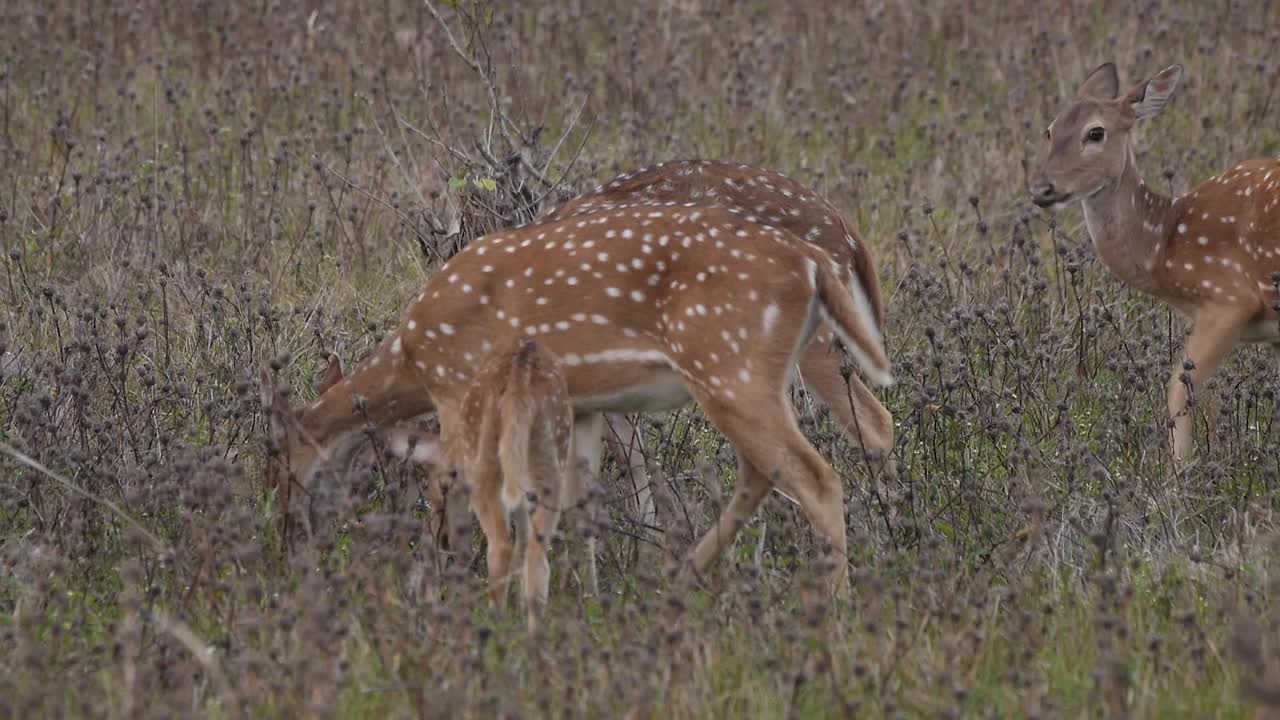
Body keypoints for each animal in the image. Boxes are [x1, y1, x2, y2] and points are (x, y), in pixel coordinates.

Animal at [262, 199, 890, 589]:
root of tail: (814, 263)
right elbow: (572, 499)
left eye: (281, 461)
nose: (288, 548)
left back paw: (835, 606)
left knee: (816, 476)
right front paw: (575, 591)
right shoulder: (585, 407)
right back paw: (681, 575)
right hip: (753, 375)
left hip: (729, 365)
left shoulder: (459, 387)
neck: (414, 357)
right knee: (765, 471)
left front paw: (455, 582)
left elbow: (457, 488)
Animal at [1029, 64, 1280, 461]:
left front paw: (1180, 473)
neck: (1165, 247)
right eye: (1050, 130)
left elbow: (1178, 388)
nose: (1042, 189)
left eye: (1095, 132)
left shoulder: (1228, 298)